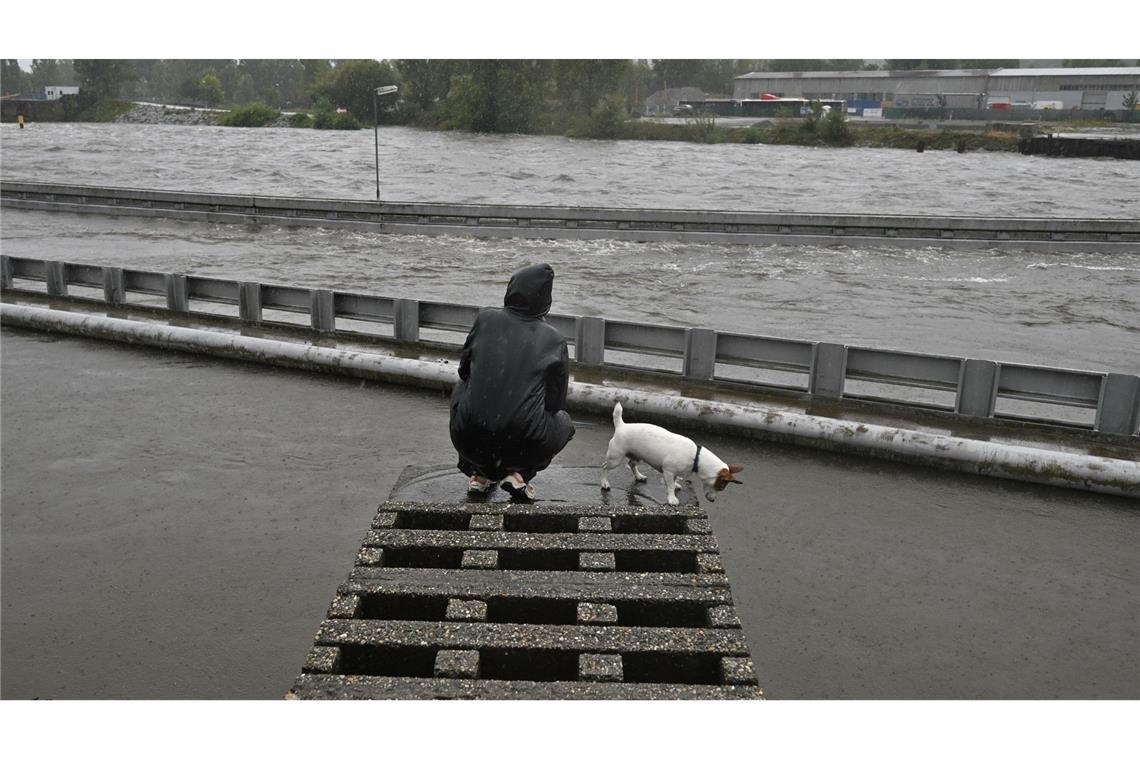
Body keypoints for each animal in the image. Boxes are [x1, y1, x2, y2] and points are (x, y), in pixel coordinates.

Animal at [601, 403, 743, 505]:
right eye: (721, 487)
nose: (713, 501)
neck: (696, 457)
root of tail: (621, 426)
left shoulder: (673, 472)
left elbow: (673, 481)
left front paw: (675, 485)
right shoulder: (668, 471)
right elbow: (669, 485)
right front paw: (672, 498)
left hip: (637, 456)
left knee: (631, 464)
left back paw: (639, 476)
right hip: (615, 458)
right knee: (605, 467)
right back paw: (605, 483)